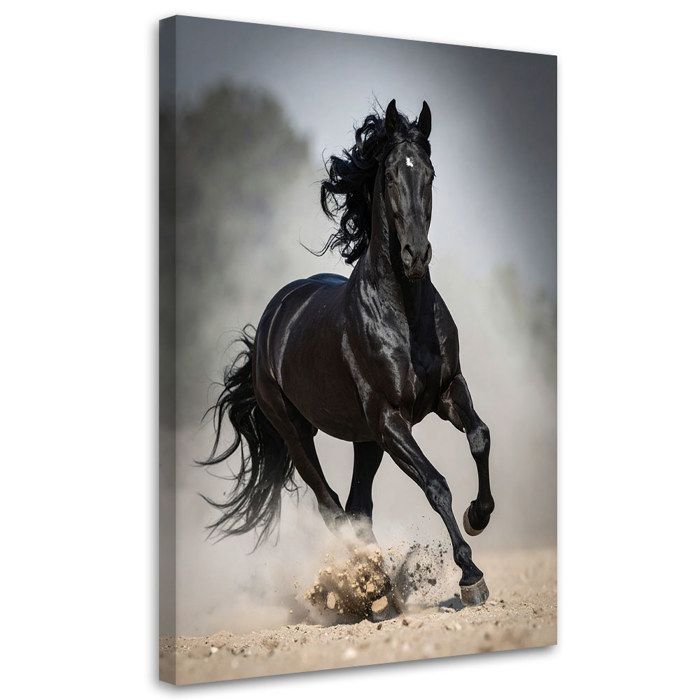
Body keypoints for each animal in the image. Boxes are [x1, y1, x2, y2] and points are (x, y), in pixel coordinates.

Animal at [201, 99, 494, 607]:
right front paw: (470, 575)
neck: (404, 312)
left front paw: (479, 514)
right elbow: (436, 485)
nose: (416, 256)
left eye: (430, 174)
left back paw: (379, 591)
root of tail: (269, 324)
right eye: (391, 175)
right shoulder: (391, 419)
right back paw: (371, 585)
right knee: (333, 508)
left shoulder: (447, 391)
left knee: (358, 509)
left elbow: (479, 437)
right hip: (300, 434)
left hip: (365, 440)